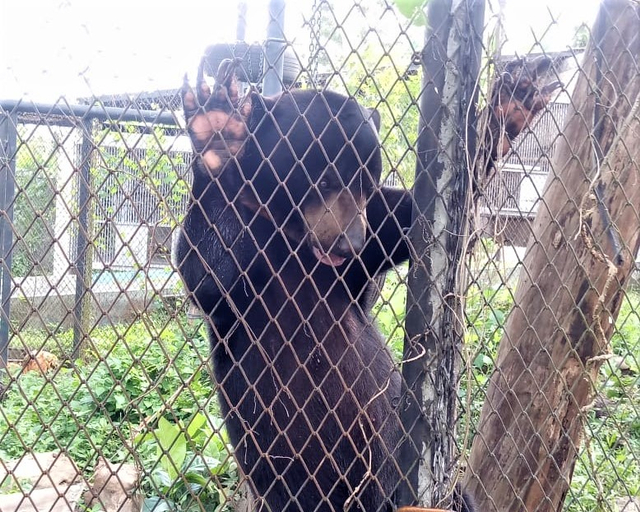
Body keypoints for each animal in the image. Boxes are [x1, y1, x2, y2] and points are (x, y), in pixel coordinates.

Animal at [178, 59, 472, 512]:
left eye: (367, 184)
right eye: (326, 181)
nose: (351, 242)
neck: (294, 240)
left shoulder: (357, 266)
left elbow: (406, 217)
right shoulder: (244, 278)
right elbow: (209, 269)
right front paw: (218, 133)